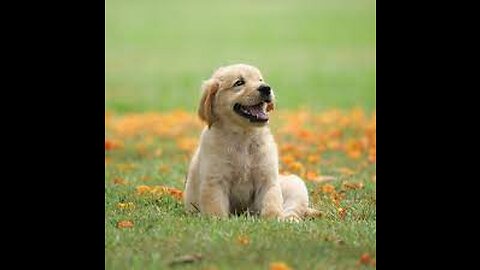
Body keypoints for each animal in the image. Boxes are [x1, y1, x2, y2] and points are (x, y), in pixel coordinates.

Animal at [184, 63, 318, 221]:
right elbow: (216, 210)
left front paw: (273, 221)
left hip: (295, 184)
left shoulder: (268, 180)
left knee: (294, 210)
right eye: (239, 83)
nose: (266, 88)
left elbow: (271, 204)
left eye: (260, 80)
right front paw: (219, 221)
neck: (244, 136)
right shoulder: (214, 181)